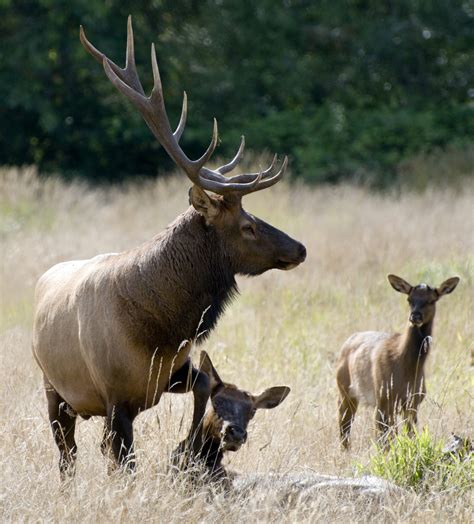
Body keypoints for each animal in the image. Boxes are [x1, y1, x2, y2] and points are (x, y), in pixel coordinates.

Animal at [33, 16, 308, 478]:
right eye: (248, 226)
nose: (301, 248)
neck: (159, 332)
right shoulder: (114, 395)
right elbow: (123, 458)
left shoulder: (175, 371)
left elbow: (207, 384)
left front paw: (192, 446)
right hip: (53, 387)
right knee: (66, 454)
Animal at [336, 272, 460, 448]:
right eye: (409, 299)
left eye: (432, 300)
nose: (415, 316)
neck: (406, 367)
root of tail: (346, 343)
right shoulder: (383, 398)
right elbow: (385, 441)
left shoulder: (413, 402)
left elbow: (411, 436)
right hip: (344, 389)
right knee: (344, 424)